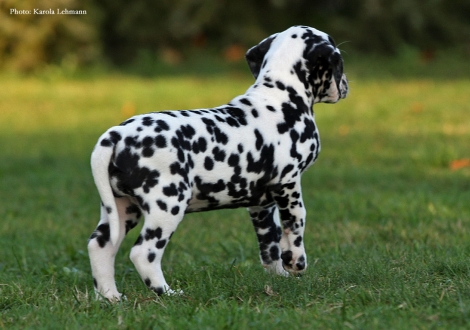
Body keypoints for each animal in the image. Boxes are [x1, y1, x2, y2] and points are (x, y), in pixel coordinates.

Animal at [88, 25, 348, 300]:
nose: (345, 85)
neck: (280, 97)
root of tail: (115, 135)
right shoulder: (289, 185)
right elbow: (296, 225)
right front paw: (296, 263)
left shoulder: (262, 206)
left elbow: (271, 245)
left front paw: (280, 278)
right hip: (167, 206)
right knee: (143, 253)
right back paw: (168, 293)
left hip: (121, 209)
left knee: (100, 246)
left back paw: (111, 297)